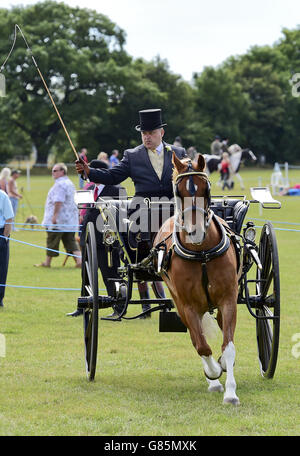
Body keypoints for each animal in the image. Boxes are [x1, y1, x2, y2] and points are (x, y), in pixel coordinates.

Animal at [154, 153, 240, 406]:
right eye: (178, 191)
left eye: (206, 188)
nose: (196, 232)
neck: (201, 253)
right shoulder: (188, 305)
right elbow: (201, 345)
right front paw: (214, 374)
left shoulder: (229, 299)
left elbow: (228, 346)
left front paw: (231, 392)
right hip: (181, 303)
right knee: (197, 338)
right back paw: (213, 379)